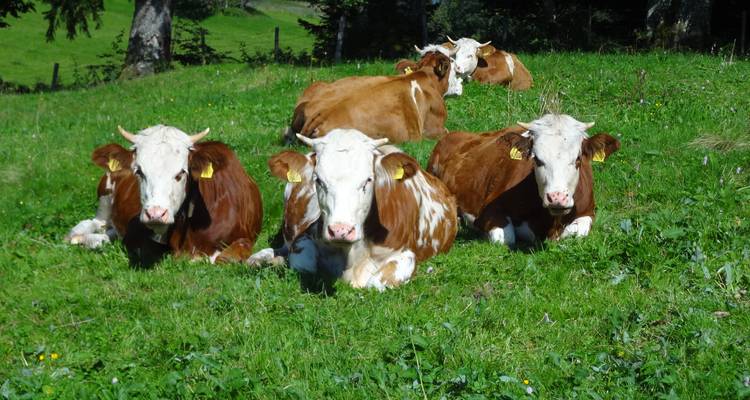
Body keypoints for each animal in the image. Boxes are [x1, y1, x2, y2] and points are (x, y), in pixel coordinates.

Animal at [65, 125, 263, 266]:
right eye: (139, 171)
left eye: (181, 173)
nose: (155, 214)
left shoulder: (244, 236)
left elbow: (226, 258)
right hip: (105, 195)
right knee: (94, 223)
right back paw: (77, 236)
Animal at [249, 129, 458, 291]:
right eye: (318, 180)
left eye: (368, 179)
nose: (340, 230)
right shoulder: (304, 238)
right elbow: (304, 265)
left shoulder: (406, 254)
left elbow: (376, 283)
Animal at [428, 114, 619, 246]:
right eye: (537, 159)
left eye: (578, 159)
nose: (556, 198)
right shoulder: (488, 211)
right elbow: (506, 237)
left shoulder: (588, 211)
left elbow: (578, 232)